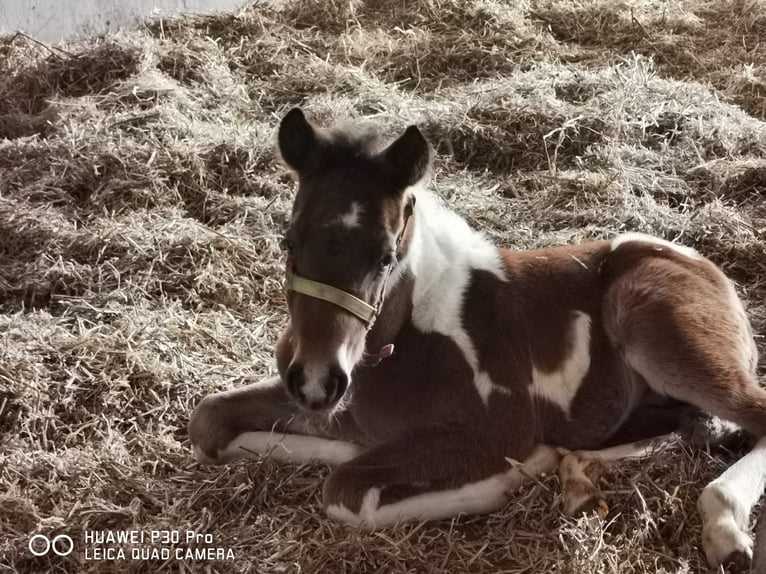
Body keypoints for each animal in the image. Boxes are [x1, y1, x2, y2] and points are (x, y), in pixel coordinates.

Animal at [189, 108, 766, 569]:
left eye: (385, 257)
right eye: (288, 241)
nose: (315, 381)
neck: (406, 339)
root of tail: (707, 267)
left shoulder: (496, 431)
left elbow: (346, 490)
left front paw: (518, 472)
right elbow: (207, 421)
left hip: (660, 334)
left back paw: (723, 530)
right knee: (698, 426)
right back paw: (578, 484)